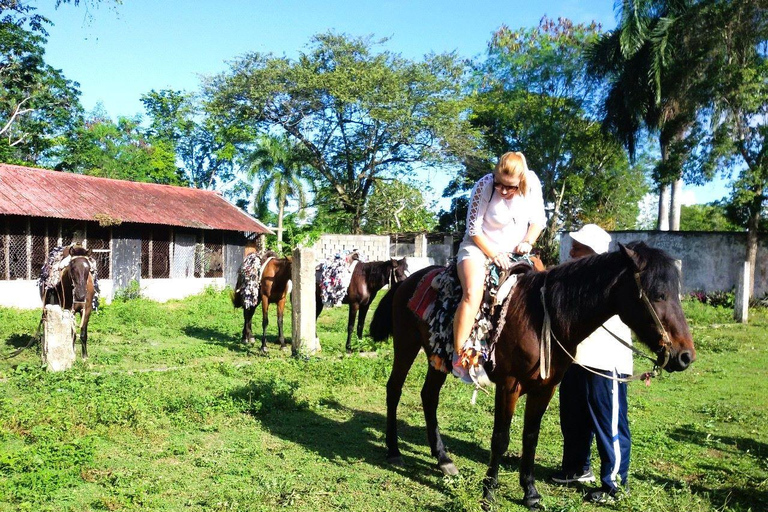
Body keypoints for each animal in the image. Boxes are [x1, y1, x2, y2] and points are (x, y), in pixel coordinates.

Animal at [370, 243, 696, 508]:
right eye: (659, 295)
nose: (685, 356)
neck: (542, 317)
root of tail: (407, 281)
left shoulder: (545, 388)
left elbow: (530, 437)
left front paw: (530, 492)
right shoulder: (508, 385)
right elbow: (500, 438)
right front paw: (489, 492)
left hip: (439, 355)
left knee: (428, 396)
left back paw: (443, 459)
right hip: (406, 345)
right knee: (394, 389)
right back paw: (394, 450)